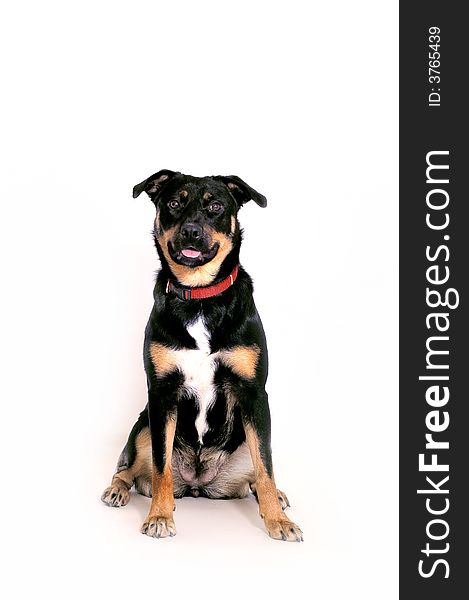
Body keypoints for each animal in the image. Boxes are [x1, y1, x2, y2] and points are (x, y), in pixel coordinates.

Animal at [100, 170, 302, 544]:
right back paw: (118, 489)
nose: (192, 231)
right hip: (143, 425)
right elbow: (161, 467)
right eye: (174, 203)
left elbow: (266, 468)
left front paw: (278, 521)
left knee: (257, 470)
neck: (200, 297)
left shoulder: (254, 394)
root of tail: (198, 484)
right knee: (128, 468)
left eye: (216, 206)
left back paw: (276, 496)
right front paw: (160, 516)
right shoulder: (162, 394)